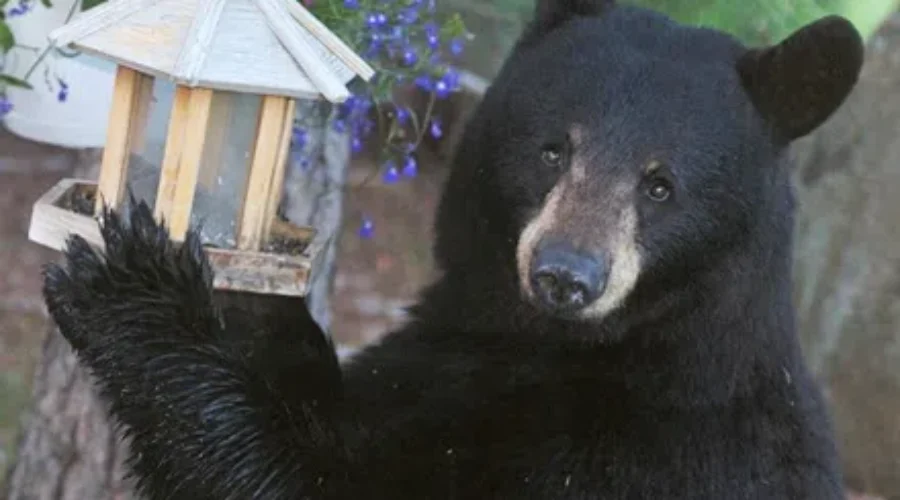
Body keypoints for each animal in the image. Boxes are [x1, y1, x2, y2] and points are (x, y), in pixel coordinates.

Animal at [41, 0, 864, 498]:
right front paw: (260, 308)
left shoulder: (635, 459)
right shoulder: (439, 360)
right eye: (553, 149)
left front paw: (135, 290)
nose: (566, 275)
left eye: (660, 185)